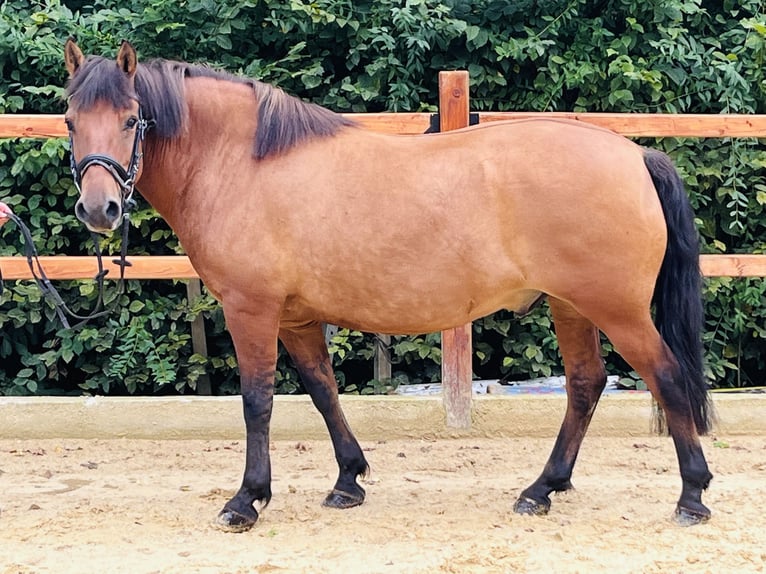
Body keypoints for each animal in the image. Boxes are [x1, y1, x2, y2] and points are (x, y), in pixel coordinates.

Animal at [63, 40, 716, 532]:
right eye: (70, 121)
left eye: (130, 119)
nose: (99, 209)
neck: (240, 163)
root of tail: (635, 155)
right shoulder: (297, 317)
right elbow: (323, 391)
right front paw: (348, 480)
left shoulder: (252, 310)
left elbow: (257, 401)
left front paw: (247, 499)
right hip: (571, 305)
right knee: (585, 384)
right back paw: (541, 489)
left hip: (616, 308)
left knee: (665, 376)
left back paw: (692, 495)